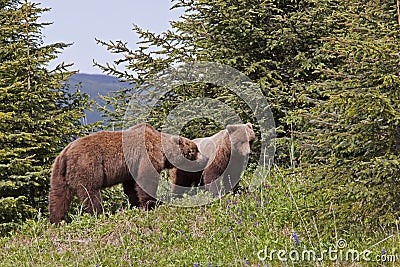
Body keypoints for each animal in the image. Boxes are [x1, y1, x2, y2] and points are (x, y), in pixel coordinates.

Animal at [48, 123, 208, 224]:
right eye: (194, 150)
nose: (205, 159)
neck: (162, 150)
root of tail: (66, 154)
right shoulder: (146, 155)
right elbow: (146, 179)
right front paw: (149, 205)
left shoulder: (131, 167)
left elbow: (131, 186)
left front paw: (136, 204)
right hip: (87, 166)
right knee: (91, 193)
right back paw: (99, 213)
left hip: (58, 173)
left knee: (58, 196)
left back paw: (56, 220)